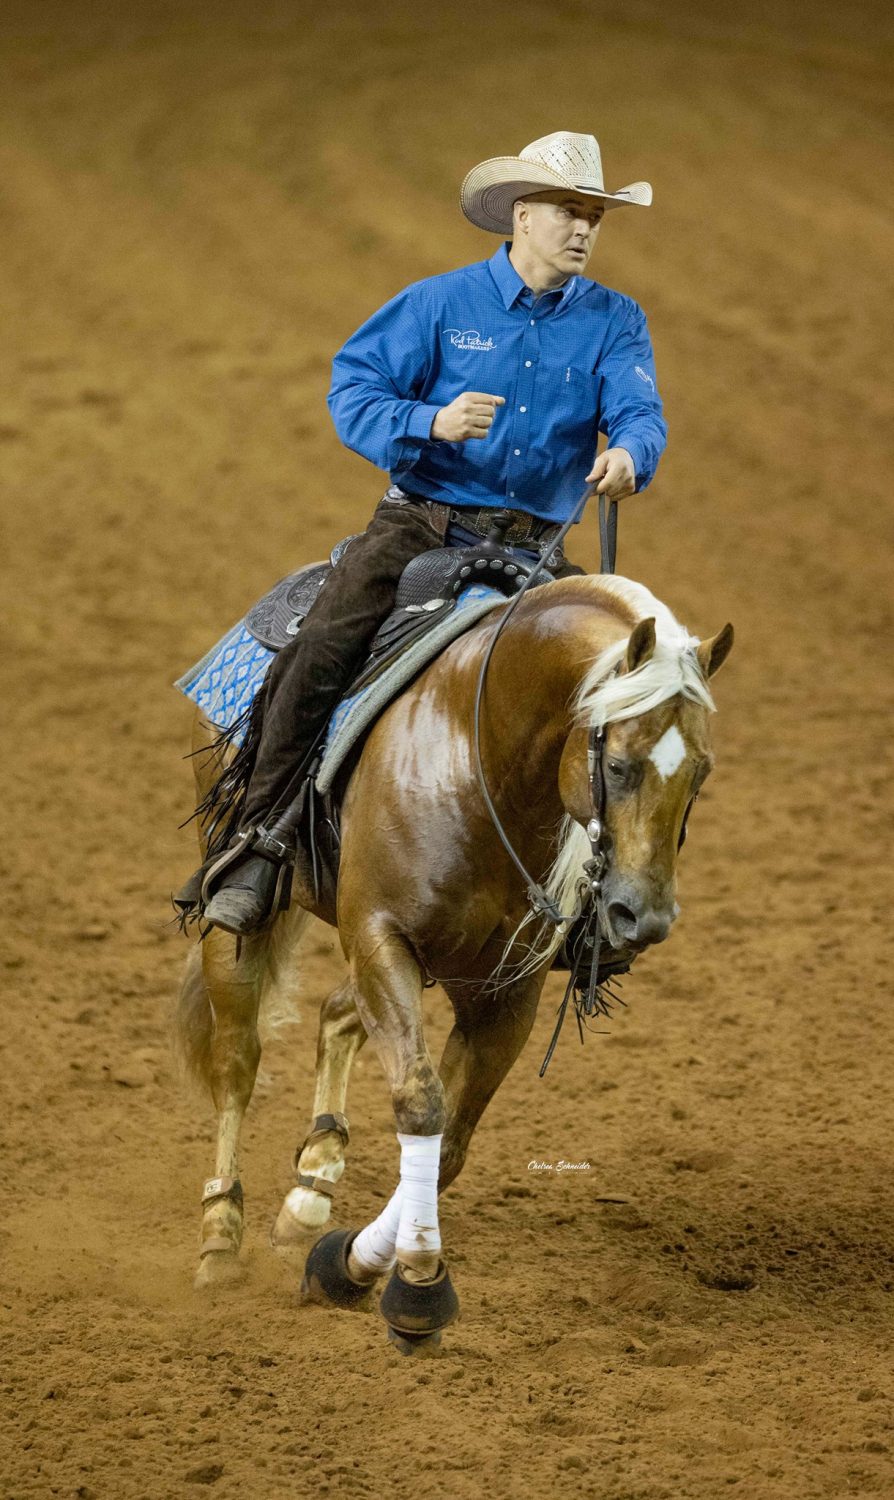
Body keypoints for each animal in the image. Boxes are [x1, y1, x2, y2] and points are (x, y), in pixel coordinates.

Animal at [176, 573, 732, 1350]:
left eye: (701, 773)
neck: (478, 760)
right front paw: (415, 1289)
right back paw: (220, 1239)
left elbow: (451, 1147)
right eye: (618, 766)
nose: (641, 919)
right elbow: (421, 1104)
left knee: (336, 1014)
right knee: (236, 1061)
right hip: (242, 919)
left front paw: (348, 1266)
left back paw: (312, 1189)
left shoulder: (504, 993)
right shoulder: (380, 939)